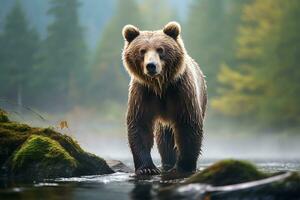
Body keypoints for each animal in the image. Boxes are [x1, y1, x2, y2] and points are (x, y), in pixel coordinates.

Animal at [122, 22, 206, 175]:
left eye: (160, 49)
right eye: (142, 51)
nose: (151, 66)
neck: (160, 86)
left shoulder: (181, 93)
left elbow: (188, 125)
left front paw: (183, 166)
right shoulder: (143, 94)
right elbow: (140, 125)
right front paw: (147, 168)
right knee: (165, 138)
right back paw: (167, 162)